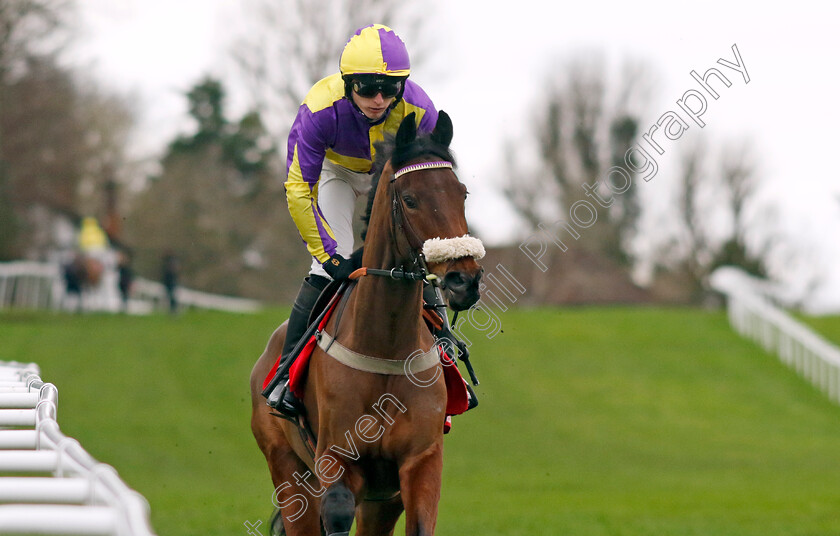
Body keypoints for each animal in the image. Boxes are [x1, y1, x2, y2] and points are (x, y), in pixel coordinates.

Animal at [249, 110, 482, 536]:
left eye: (462, 193)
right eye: (410, 199)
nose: (465, 280)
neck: (385, 345)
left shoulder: (420, 462)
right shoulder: (335, 460)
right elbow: (338, 508)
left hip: (380, 501)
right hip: (287, 470)